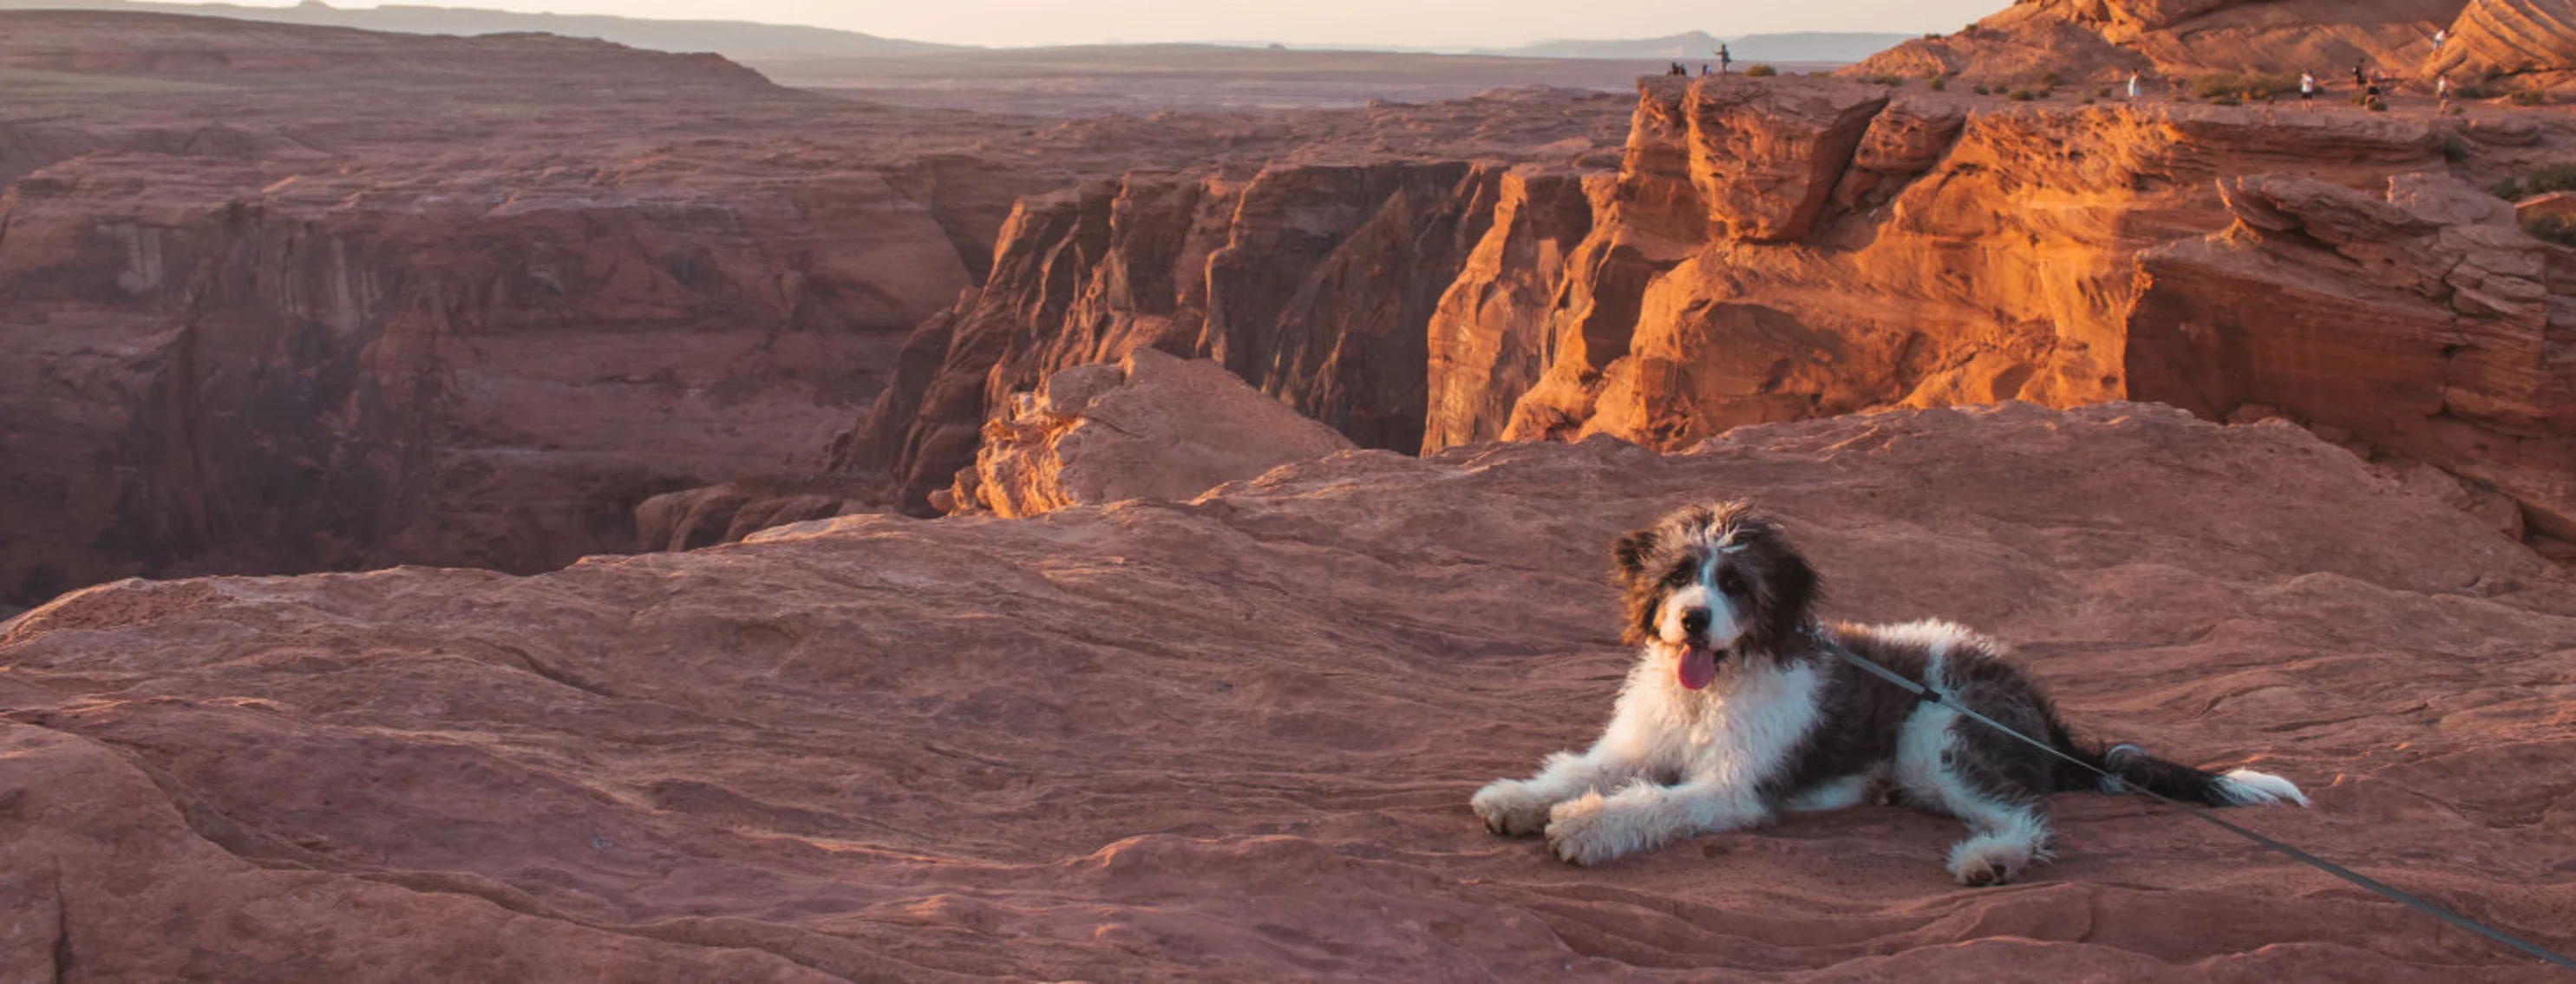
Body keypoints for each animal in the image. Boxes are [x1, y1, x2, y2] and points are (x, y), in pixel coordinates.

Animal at [1473, 499, 2318, 886]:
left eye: (1736, 584)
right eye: (1679, 574)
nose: (1693, 619)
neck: (1710, 691)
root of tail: (2040, 713)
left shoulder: (1733, 788)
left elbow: (1654, 803)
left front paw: (1586, 828)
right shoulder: (1637, 744)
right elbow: (1582, 769)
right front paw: (1517, 799)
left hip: (1939, 739)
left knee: (2029, 817)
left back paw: (1991, 859)